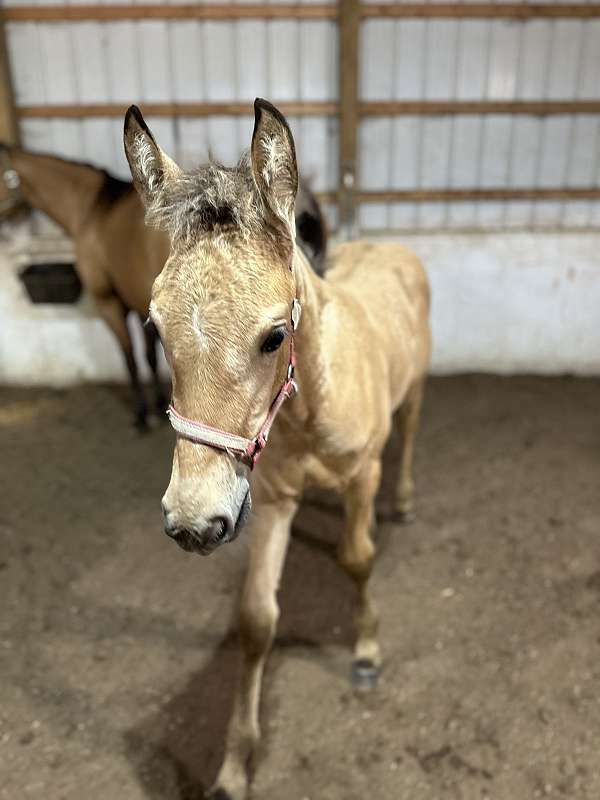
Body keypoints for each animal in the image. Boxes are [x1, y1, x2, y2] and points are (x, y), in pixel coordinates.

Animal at [0, 145, 326, 432]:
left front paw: (143, 415)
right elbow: (150, 355)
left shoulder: (110, 304)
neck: (92, 208)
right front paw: (157, 405)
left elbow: (131, 359)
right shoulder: (142, 306)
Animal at [124, 100, 432, 800]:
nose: (193, 522)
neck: (308, 409)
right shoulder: (267, 498)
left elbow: (358, 556)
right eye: (155, 327)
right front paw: (235, 766)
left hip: (415, 392)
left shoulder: (360, 475)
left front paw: (366, 653)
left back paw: (405, 502)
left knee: (408, 438)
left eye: (273, 336)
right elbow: (257, 618)